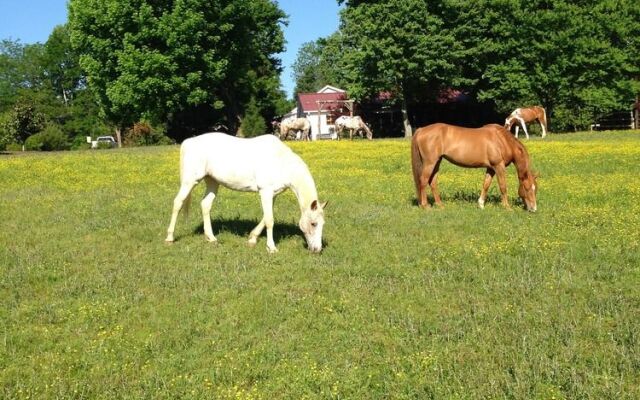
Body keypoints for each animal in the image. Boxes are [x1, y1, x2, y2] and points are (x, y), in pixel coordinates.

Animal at [165, 132, 328, 253]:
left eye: (322, 224)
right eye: (313, 224)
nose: (317, 249)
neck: (281, 162)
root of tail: (189, 142)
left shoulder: (272, 194)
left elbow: (265, 218)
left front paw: (252, 239)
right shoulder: (265, 192)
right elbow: (270, 220)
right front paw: (271, 248)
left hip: (212, 181)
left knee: (205, 205)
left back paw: (211, 238)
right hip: (190, 181)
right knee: (178, 203)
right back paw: (170, 238)